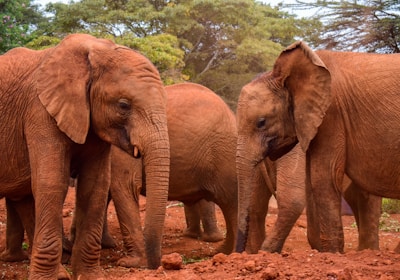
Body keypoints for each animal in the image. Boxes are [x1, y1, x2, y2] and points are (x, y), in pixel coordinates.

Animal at [0, 32, 170, 278]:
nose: (155, 266)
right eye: (123, 105)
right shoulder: (39, 111)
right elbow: (51, 183)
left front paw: (89, 275)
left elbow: (95, 186)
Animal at [234, 41, 400, 254]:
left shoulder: (331, 114)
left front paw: (333, 254)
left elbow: (320, 179)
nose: (237, 252)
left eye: (261, 122)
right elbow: (310, 183)